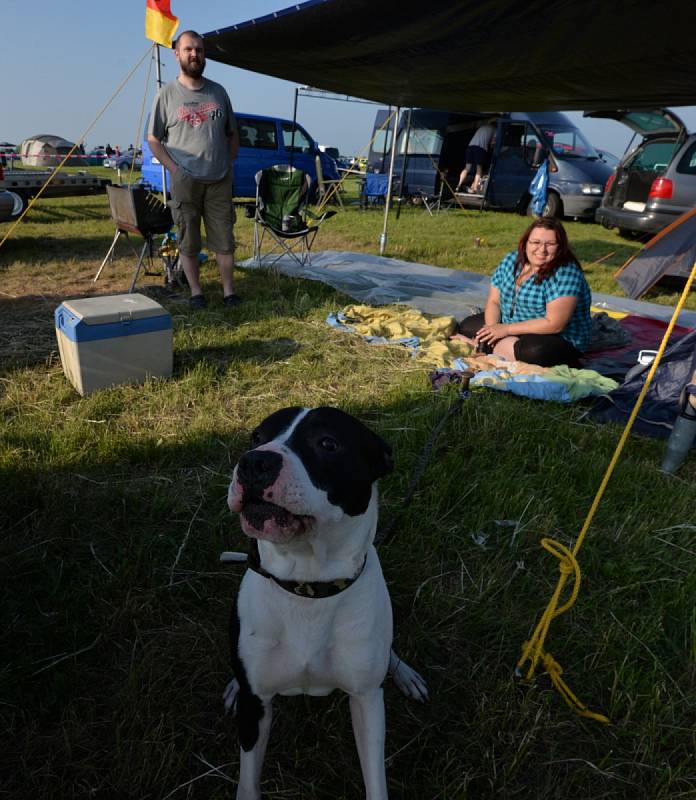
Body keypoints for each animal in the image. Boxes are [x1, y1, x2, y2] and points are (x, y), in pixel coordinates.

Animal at [223, 410, 426, 796]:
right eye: (256, 437)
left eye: (328, 443)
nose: (254, 462)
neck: (308, 587)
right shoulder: (255, 707)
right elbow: (247, 784)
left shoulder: (366, 701)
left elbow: (376, 782)